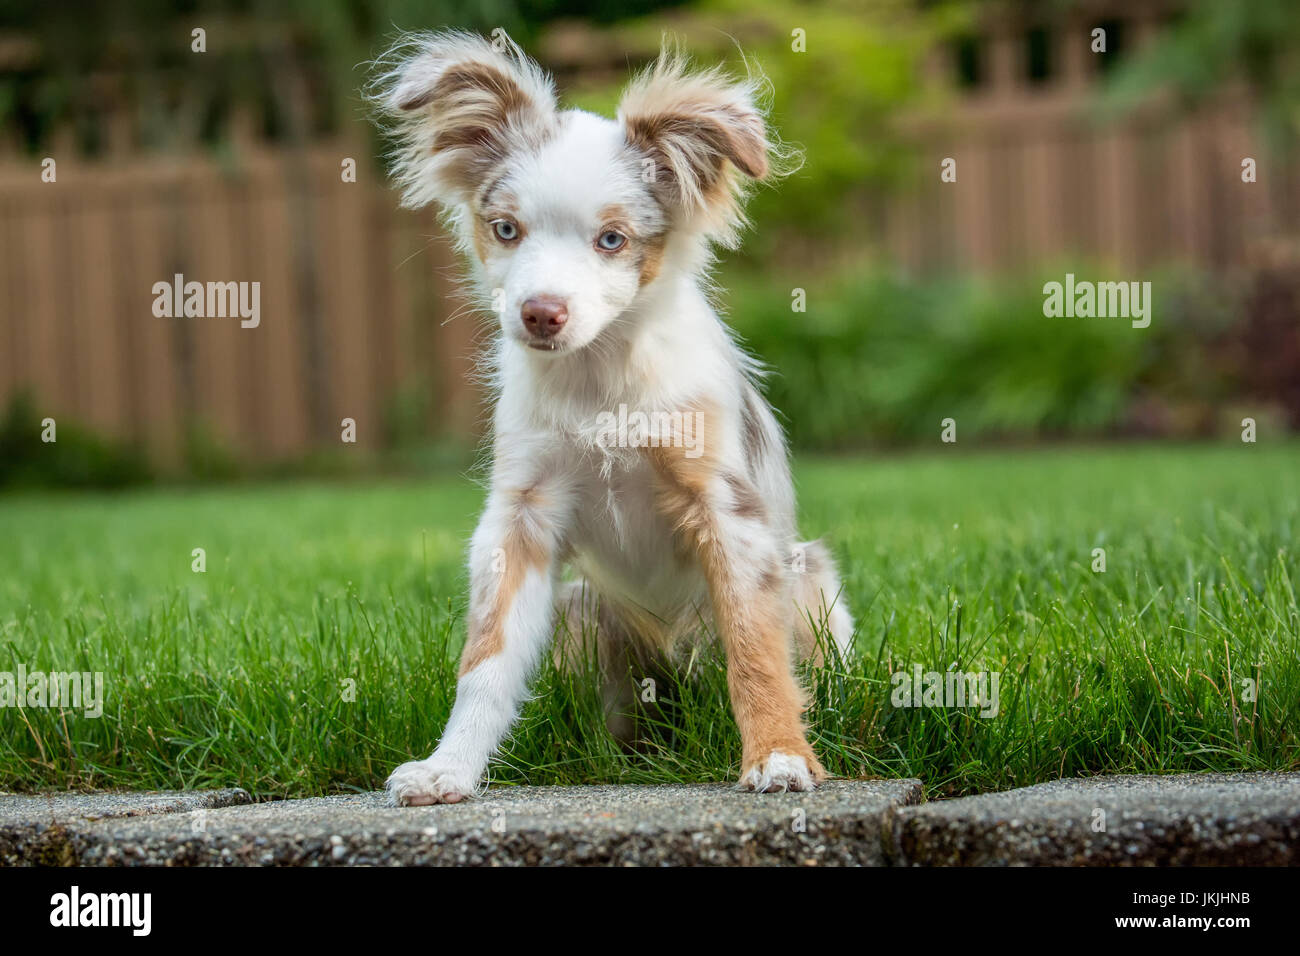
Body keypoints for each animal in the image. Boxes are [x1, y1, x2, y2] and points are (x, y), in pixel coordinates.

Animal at [371, 29, 852, 806]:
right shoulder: (520, 517)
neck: (600, 383)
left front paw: (779, 756)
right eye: (505, 229)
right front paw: (450, 768)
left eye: (613, 241)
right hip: (584, 613)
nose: (540, 313)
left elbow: (754, 648)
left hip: (812, 580)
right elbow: (486, 659)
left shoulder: (730, 513)